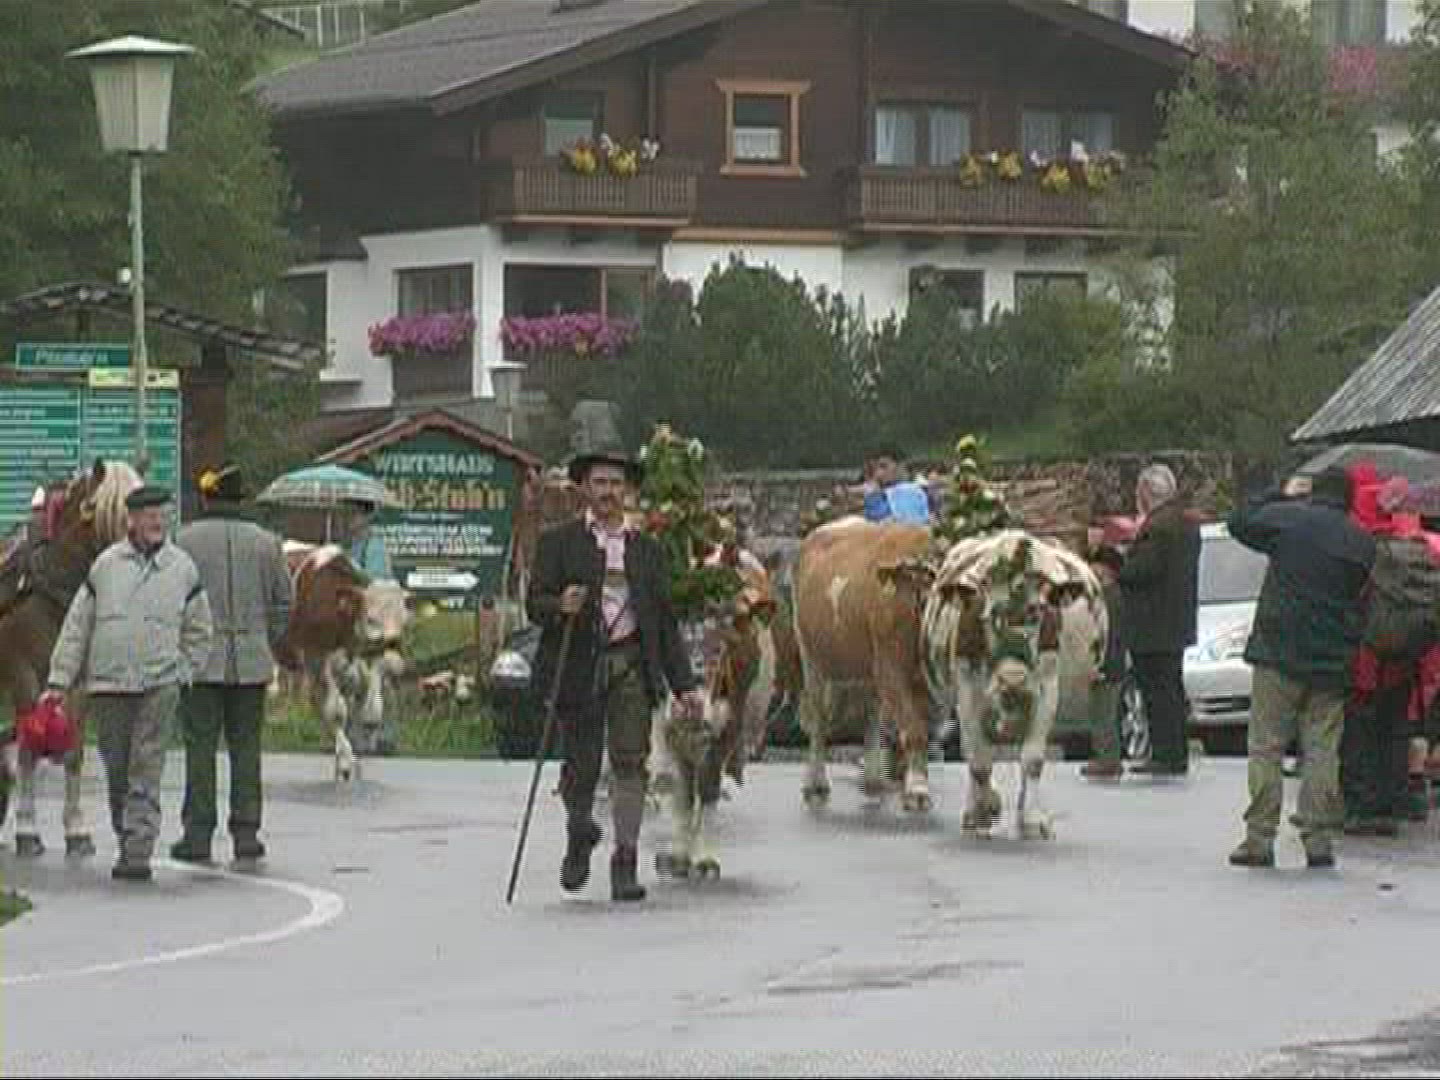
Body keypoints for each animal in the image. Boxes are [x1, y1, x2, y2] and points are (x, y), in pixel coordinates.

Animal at [0, 459, 142, 856]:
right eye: (101, 511)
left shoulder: (80, 679)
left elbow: (74, 750)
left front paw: (76, 830)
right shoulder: (22, 673)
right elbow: (29, 749)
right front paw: (27, 830)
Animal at [273, 542, 410, 782]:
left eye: (403, 619)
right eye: (370, 618)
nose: (393, 647)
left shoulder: (369, 659)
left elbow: (372, 712)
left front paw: (360, 752)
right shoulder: (317, 658)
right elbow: (337, 712)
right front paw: (346, 762)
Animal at [792, 516, 936, 812]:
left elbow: (920, 726)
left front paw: (915, 782)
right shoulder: (890, 666)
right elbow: (914, 729)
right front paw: (917, 791)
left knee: (870, 711)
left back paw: (872, 779)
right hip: (810, 654)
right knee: (818, 716)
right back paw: (816, 785)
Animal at [920, 528, 1106, 839]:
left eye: (1038, 613)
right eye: (986, 614)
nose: (1013, 679)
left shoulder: (1047, 687)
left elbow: (1032, 759)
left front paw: (1031, 819)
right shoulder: (967, 688)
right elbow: (978, 757)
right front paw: (981, 812)